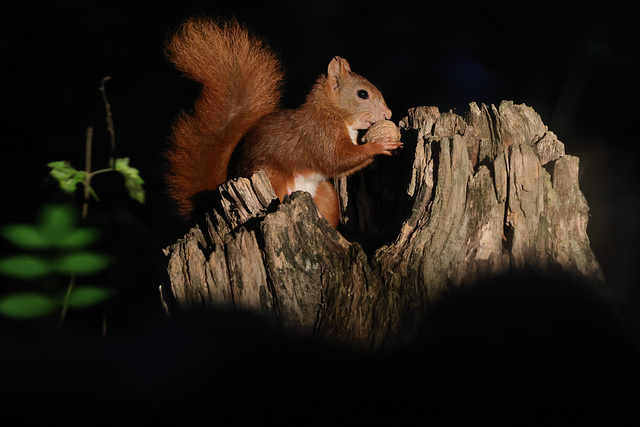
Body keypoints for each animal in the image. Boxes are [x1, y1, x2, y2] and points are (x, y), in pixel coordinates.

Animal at [168, 18, 402, 229]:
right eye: (362, 94)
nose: (388, 113)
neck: (332, 112)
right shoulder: (320, 132)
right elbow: (336, 159)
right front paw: (380, 146)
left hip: (325, 194)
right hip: (273, 179)